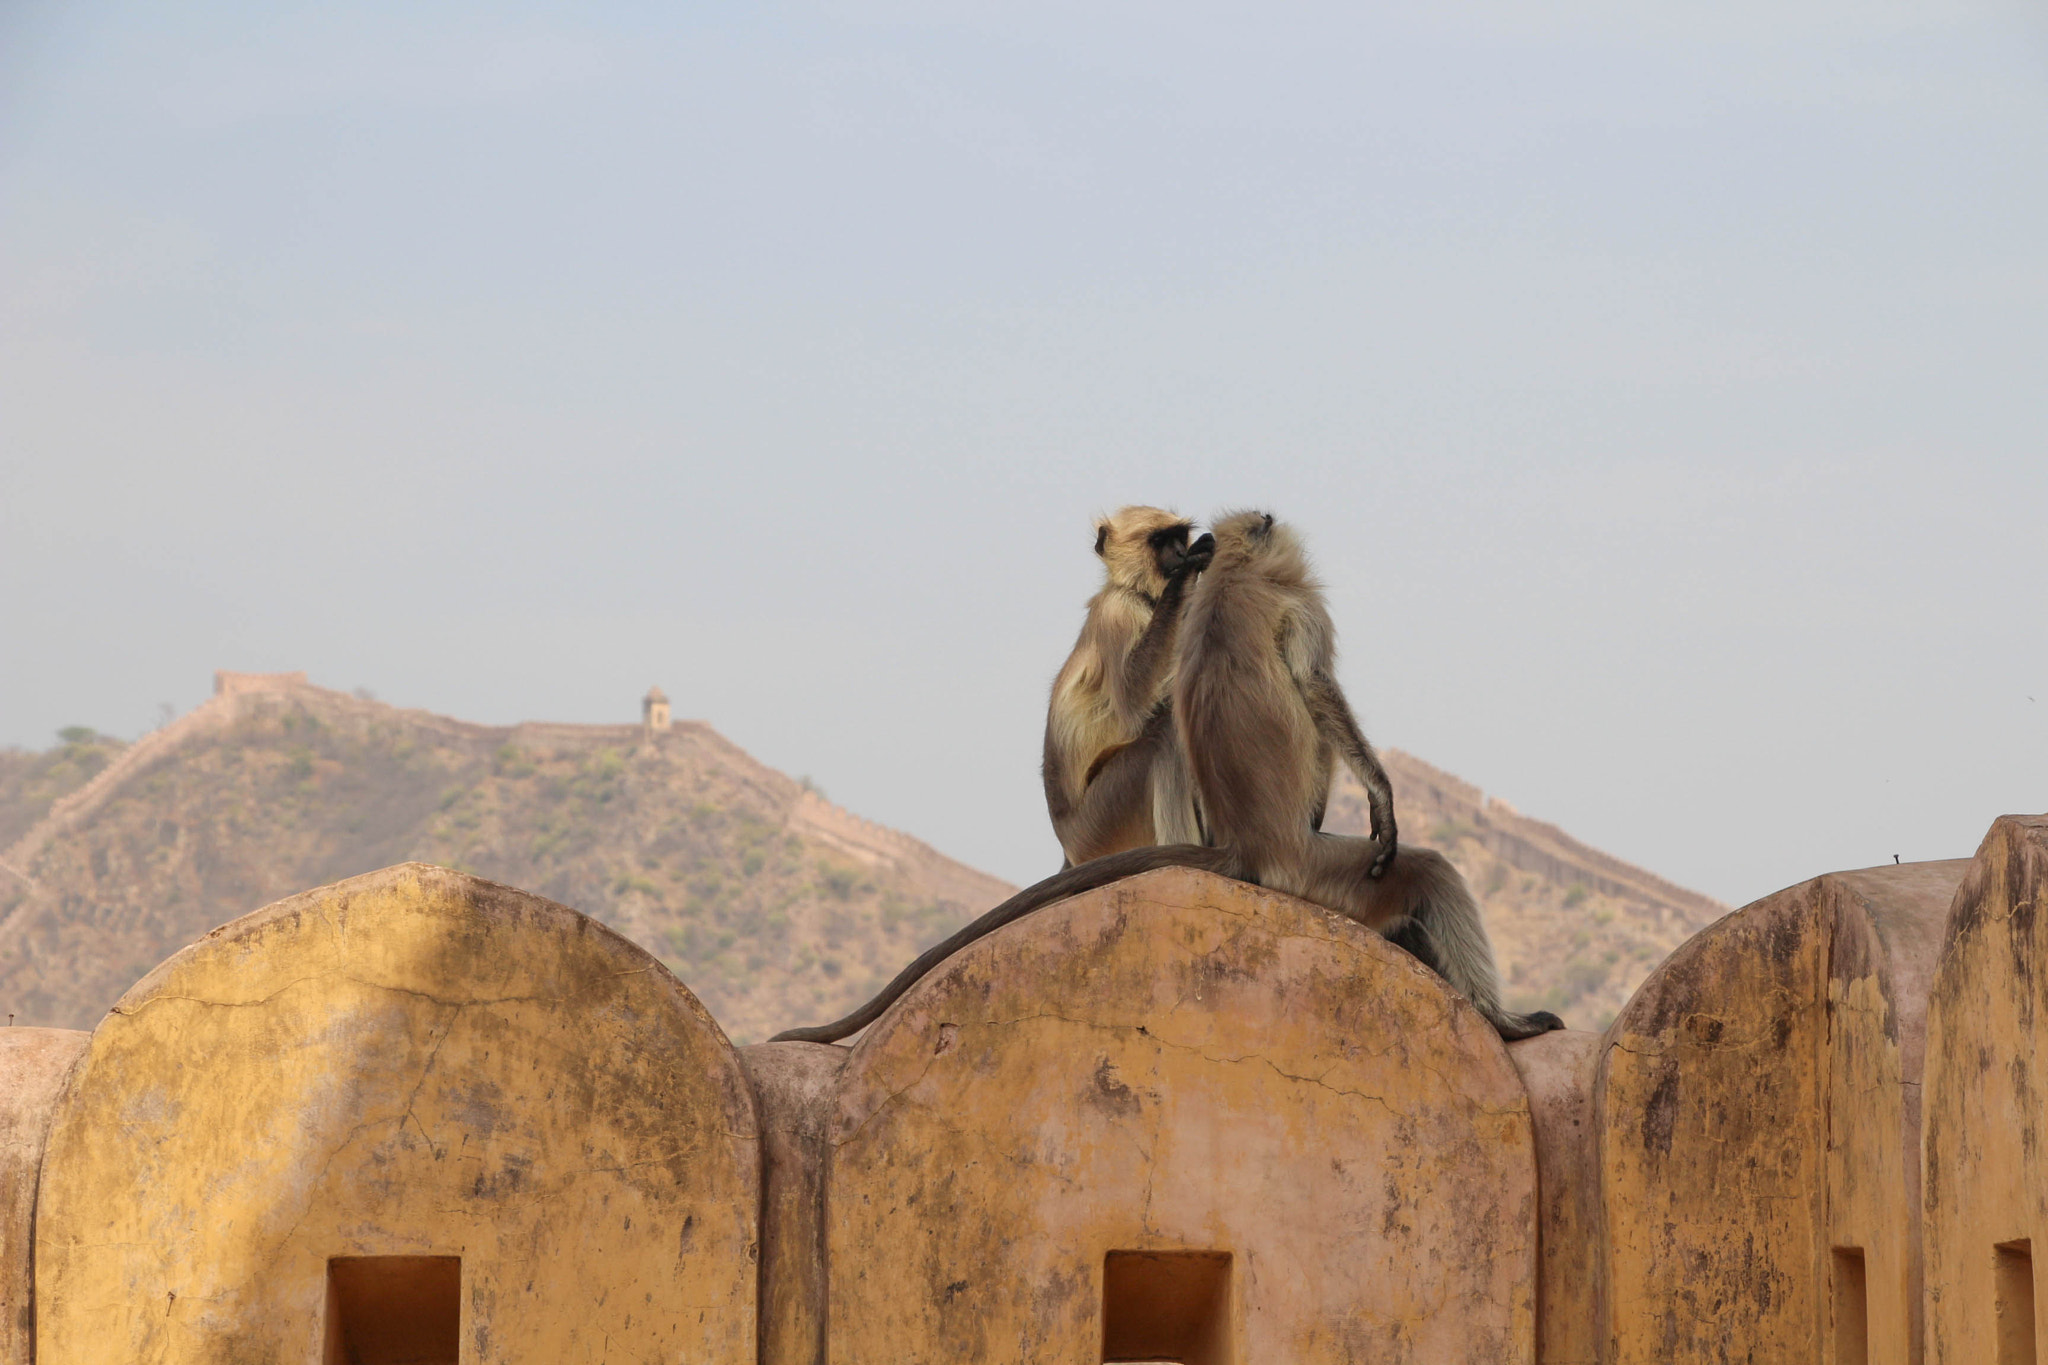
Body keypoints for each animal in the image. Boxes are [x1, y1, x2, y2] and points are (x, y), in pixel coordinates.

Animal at [1041, 507, 1213, 866]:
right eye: (1160, 541)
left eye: (1179, 537)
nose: (1180, 553)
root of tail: (1069, 844)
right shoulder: (1116, 611)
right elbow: (1135, 703)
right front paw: (1185, 577)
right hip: (1102, 820)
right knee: (1163, 739)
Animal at [1173, 510, 1563, 1040]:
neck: (1233, 574)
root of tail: (1248, 851)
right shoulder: (1304, 606)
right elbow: (1315, 685)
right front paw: (1382, 795)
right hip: (1322, 873)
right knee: (1431, 871)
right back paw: (1503, 1020)